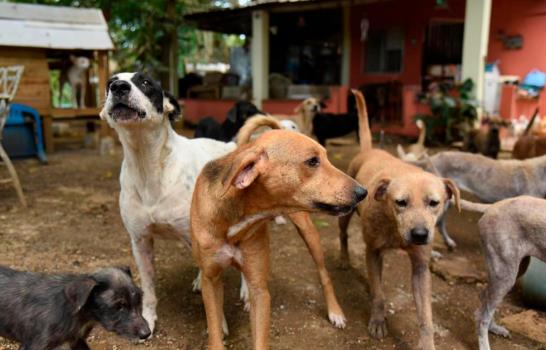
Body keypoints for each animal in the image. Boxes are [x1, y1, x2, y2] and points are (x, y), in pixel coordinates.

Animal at [191, 129, 366, 350]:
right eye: (312, 161)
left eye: (326, 157)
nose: (363, 192)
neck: (237, 217)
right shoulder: (211, 279)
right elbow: (214, 330)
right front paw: (219, 328)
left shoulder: (260, 291)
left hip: (309, 234)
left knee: (324, 275)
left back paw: (335, 312)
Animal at [336, 91, 460, 350]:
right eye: (401, 202)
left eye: (434, 203)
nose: (420, 235)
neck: (393, 226)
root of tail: (369, 151)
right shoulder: (373, 252)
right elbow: (379, 295)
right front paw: (377, 320)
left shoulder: (421, 268)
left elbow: (426, 317)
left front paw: (427, 343)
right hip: (345, 215)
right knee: (343, 235)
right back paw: (343, 258)